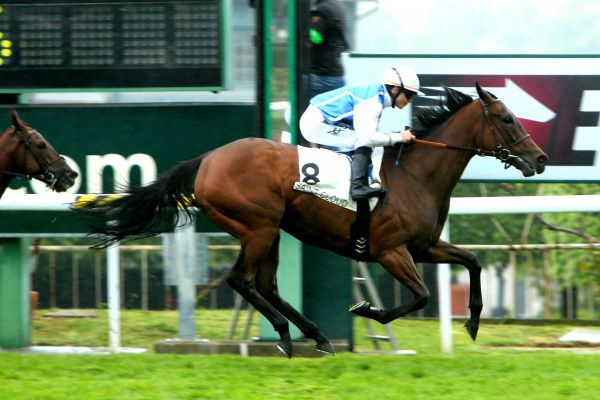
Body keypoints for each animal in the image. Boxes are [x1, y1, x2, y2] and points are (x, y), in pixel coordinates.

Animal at [75, 83, 548, 356]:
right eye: (506, 119)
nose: (540, 159)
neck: (415, 176)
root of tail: (207, 159)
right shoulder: (391, 251)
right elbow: (420, 298)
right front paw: (368, 309)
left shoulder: (425, 245)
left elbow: (472, 261)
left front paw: (472, 322)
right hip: (259, 226)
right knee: (242, 280)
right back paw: (287, 334)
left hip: (271, 230)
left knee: (265, 284)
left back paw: (314, 336)